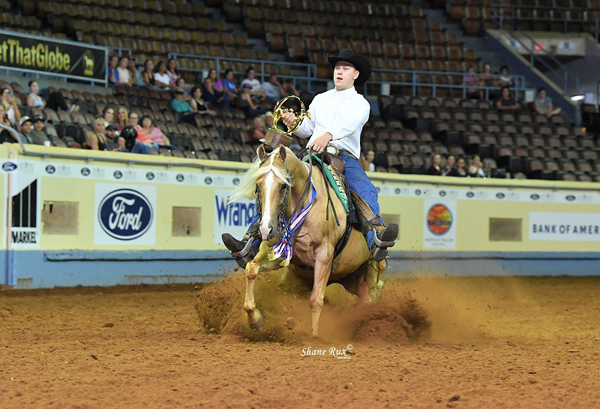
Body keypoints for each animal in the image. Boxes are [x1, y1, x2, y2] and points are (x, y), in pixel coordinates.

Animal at [227, 145, 386, 336]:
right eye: (257, 185)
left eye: (283, 186)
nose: (265, 229)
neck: (307, 205)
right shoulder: (277, 252)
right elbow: (251, 268)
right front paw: (255, 319)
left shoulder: (324, 256)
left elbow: (316, 300)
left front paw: (313, 336)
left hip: (370, 273)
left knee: (369, 298)